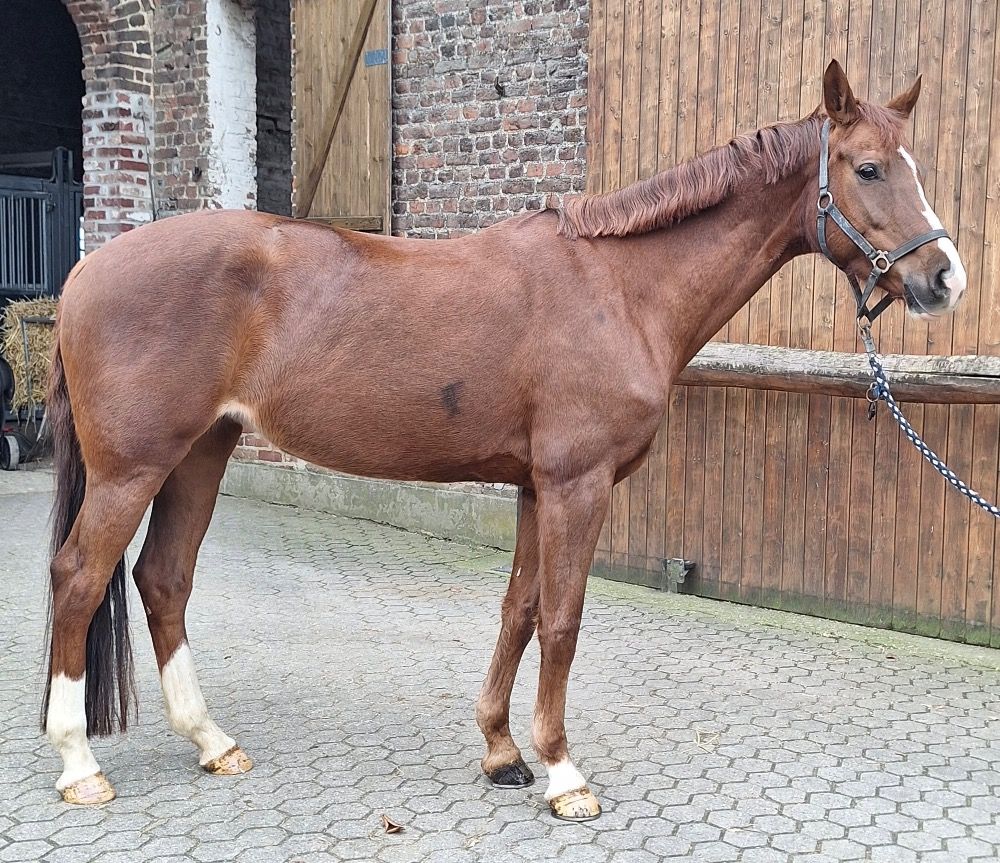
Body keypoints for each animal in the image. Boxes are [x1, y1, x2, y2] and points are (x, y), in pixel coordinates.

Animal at [41, 60, 966, 820]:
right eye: (868, 167)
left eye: (915, 164)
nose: (943, 277)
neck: (620, 288)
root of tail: (85, 270)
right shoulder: (577, 483)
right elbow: (561, 618)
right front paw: (563, 773)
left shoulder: (532, 484)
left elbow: (518, 609)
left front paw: (501, 751)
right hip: (133, 469)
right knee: (79, 577)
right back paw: (79, 764)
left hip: (202, 453)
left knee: (163, 579)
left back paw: (212, 741)